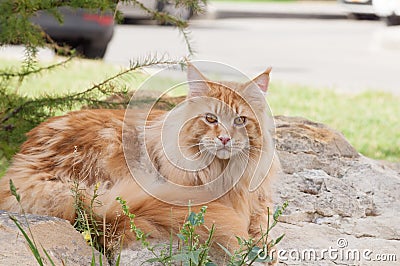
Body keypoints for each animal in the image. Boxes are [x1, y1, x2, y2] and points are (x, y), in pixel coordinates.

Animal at [0, 64, 280, 254]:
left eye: (240, 120)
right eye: (210, 118)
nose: (224, 139)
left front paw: (262, 246)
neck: (223, 172)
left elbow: (262, 226)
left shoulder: (258, 202)